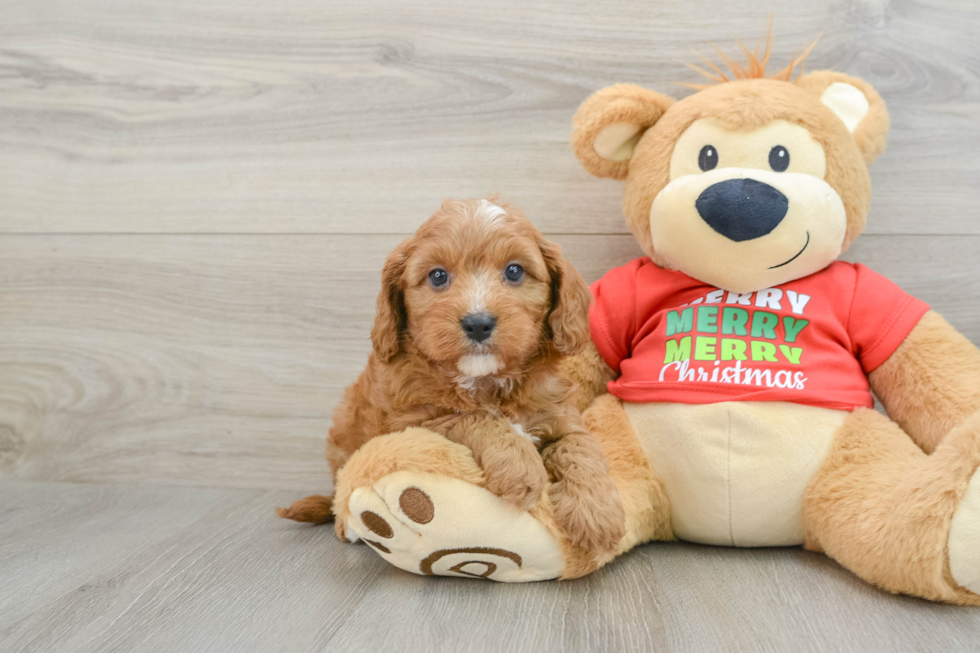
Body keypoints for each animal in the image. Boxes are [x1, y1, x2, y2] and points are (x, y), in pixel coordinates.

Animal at [280, 197, 624, 552]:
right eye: (437, 276)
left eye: (514, 271)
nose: (478, 323)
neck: (486, 381)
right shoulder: (412, 423)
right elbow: (473, 417)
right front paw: (520, 466)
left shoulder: (558, 411)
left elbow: (579, 446)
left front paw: (598, 513)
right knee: (340, 492)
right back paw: (346, 525)